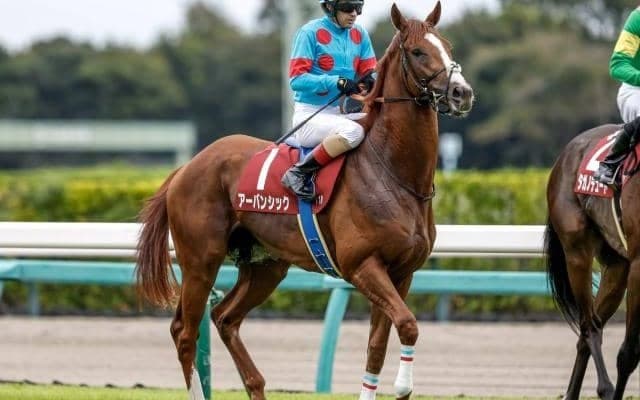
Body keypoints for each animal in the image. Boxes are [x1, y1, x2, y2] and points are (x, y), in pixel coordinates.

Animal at [135, 2, 474, 399]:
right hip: (201, 261)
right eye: (419, 51)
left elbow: (378, 346)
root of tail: (186, 167)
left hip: (267, 266)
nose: (461, 93)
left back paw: (256, 385)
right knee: (186, 332)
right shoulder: (362, 266)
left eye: (447, 47)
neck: (395, 174)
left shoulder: (402, 272)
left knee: (224, 318)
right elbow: (408, 324)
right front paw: (404, 386)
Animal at [545, 123, 640, 400]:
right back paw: (605, 388)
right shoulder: (639, 265)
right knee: (590, 326)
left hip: (617, 266)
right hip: (577, 254)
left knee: (587, 333)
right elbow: (629, 353)